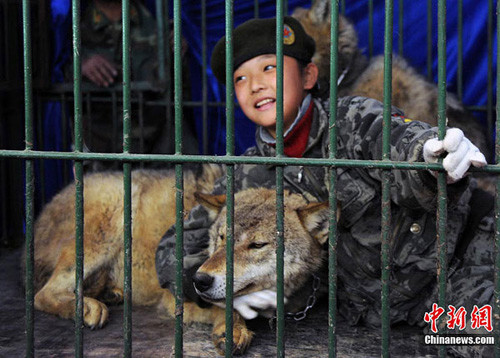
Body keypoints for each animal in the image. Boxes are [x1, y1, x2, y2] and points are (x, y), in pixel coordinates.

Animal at [30, 167, 332, 352]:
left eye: (257, 245)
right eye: (221, 238)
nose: (200, 280)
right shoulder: (174, 297)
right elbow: (227, 307)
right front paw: (232, 329)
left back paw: (111, 294)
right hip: (110, 216)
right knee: (42, 294)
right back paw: (87, 307)